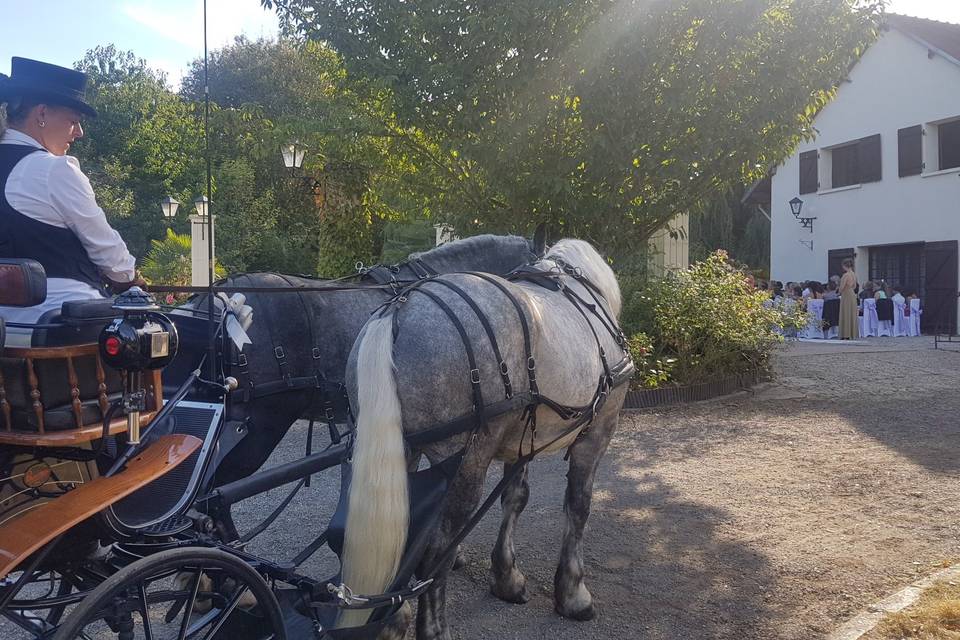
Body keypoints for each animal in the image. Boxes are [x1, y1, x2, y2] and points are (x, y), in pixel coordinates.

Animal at [344, 239, 632, 636]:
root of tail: (400, 310)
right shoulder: (598, 433)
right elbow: (579, 506)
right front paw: (574, 595)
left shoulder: (523, 440)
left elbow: (515, 499)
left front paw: (506, 577)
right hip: (466, 463)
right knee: (436, 553)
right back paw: (434, 629)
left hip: (402, 452)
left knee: (401, 535)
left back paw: (392, 620)